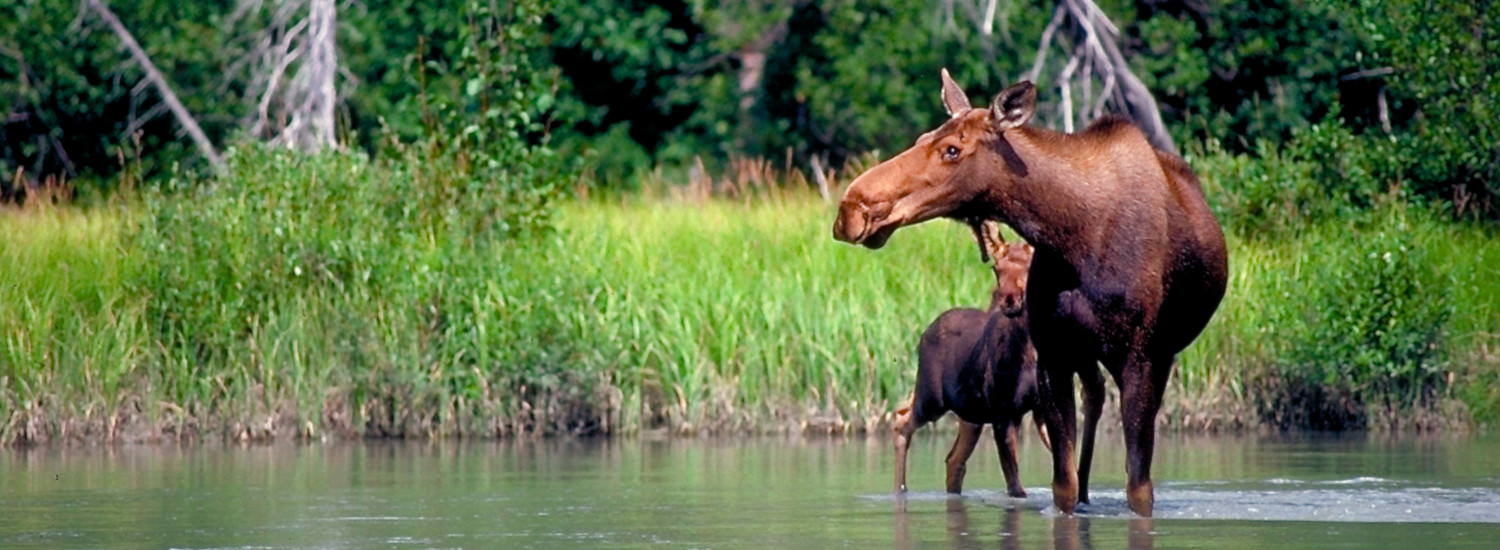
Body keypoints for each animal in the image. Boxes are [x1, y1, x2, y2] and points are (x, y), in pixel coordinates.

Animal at [840, 71, 1224, 518]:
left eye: (952, 149)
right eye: (922, 138)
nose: (852, 207)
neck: (1072, 238)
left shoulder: (1141, 358)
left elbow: (1139, 489)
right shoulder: (1053, 355)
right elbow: (1062, 485)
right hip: (1075, 357)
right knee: (1090, 399)